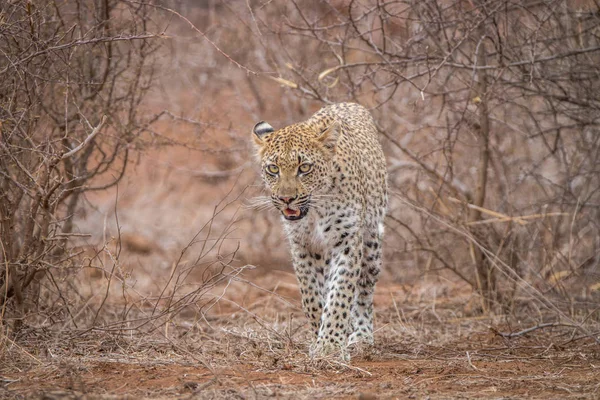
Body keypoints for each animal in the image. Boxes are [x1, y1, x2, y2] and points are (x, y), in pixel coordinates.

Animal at [251, 102, 386, 360]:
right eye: (273, 168)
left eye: (304, 168)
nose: (286, 199)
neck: (315, 212)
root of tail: (348, 103)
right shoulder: (301, 245)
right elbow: (312, 296)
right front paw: (318, 338)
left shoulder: (346, 241)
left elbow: (340, 294)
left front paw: (331, 345)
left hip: (372, 245)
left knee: (364, 292)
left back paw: (361, 337)